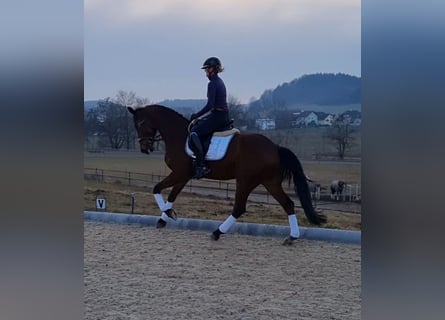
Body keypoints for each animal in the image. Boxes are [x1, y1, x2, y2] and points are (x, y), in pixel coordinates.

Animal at [126, 105, 324, 245]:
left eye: (141, 123)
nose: (144, 148)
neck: (179, 135)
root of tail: (274, 147)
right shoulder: (184, 176)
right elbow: (172, 195)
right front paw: (165, 217)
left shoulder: (179, 173)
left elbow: (156, 188)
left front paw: (168, 214)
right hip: (269, 182)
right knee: (288, 204)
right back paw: (292, 237)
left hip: (245, 181)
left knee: (239, 208)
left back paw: (217, 233)